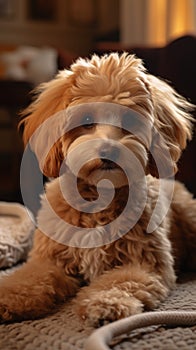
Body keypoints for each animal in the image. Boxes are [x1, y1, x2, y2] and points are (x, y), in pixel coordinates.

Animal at [0, 52, 196, 326]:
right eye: (85, 120)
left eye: (129, 120)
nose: (109, 150)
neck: (99, 197)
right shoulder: (49, 260)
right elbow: (28, 278)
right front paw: (8, 299)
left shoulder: (145, 264)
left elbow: (120, 282)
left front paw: (105, 304)